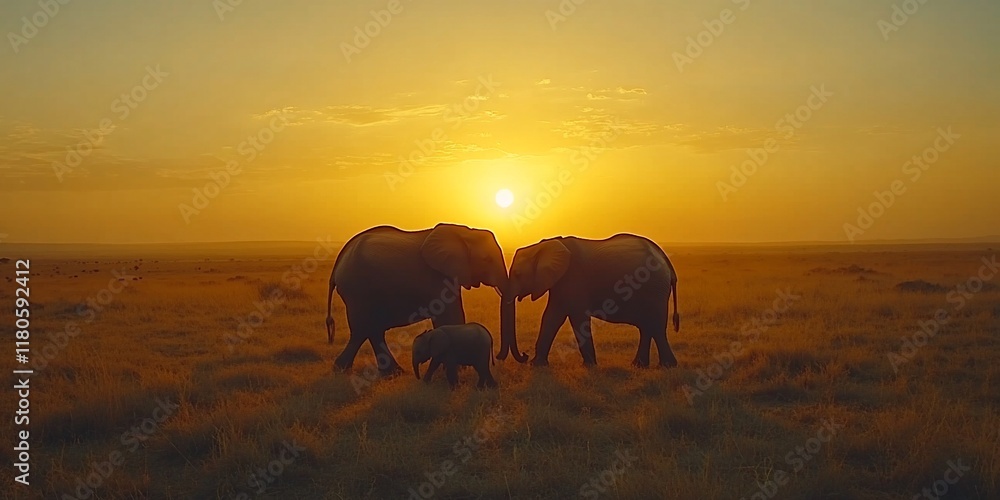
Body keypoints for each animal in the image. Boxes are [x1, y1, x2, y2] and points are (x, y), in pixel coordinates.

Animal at [325, 223, 528, 376]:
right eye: (486, 260)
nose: (524, 356)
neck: (465, 232)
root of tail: (338, 263)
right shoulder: (437, 278)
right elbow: (450, 315)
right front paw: (458, 368)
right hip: (358, 291)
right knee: (364, 329)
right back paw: (344, 370)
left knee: (372, 330)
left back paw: (391, 373)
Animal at [506, 234, 680, 368]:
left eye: (518, 274)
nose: (525, 355)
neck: (544, 245)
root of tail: (664, 257)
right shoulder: (559, 281)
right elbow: (551, 317)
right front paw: (537, 365)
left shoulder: (573, 278)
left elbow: (577, 318)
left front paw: (589, 366)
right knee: (647, 327)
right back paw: (639, 365)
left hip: (655, 289)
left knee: (655, 327)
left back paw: (667, 366)